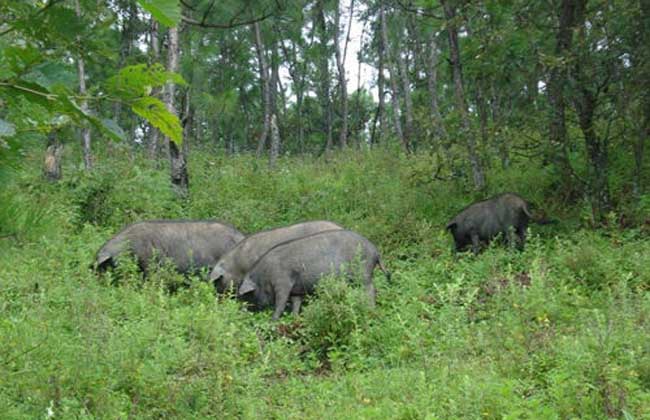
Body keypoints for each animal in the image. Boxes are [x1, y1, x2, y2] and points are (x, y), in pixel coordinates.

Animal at [234, 228, 390, 320]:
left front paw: (273, 320)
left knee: (370, 289)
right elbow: (296, 303)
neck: (263, 275)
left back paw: (370, 308)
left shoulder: (283, 282)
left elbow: (281, 303)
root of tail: (376, 251)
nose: (245, 313)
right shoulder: (296, 289)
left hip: (363, 271)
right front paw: (295, 319)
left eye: (249, 294)